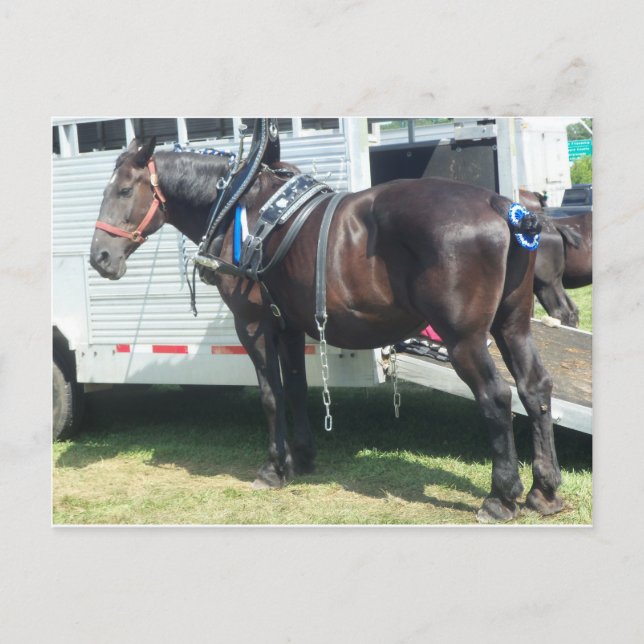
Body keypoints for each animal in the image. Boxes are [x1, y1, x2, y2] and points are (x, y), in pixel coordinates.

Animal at [89, 135, 564, 523]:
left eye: (125, 190)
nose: (100, 258)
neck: (241, 206)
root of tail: (500, 206)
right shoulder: (288, 325)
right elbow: (296, 389)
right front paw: (302, 457)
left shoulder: (253, 323)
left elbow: (271, 395)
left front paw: (273, 468)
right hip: (512, 324)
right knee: (534, 388)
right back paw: (544, 490)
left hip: (463, 338)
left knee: (496, 397)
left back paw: (501, 496)